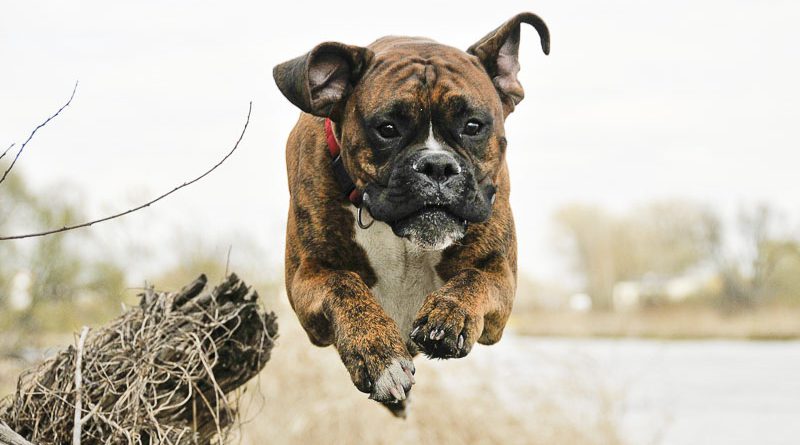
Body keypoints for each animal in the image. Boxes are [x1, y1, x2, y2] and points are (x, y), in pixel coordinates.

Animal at [272, 12, 548, 414]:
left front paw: (449, 315)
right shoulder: (309, 277)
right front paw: (379, 356)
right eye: (387, 129)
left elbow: (472, 280)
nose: (437, 166)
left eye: (473, 126)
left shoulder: (499, 276)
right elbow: (344, 286)